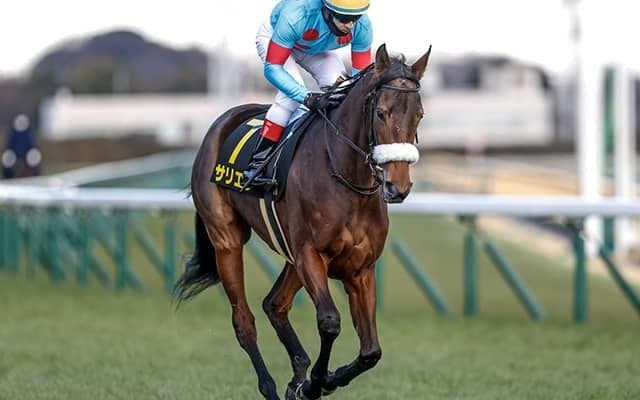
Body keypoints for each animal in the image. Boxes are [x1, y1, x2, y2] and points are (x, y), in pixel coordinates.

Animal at [174, 43, 431, 400]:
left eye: (418, 114)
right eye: (381, 112)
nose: (398, 186)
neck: (346, 180)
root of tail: (220, 124)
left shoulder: (360, 268)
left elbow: (371, 351)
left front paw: (316, 380)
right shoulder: (311, 254)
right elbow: (329, 321)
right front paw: (315, 382)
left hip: (291, 255)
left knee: (274, 304)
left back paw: (297, 372)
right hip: (227, 240)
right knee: (244, 320)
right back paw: (270, 385)